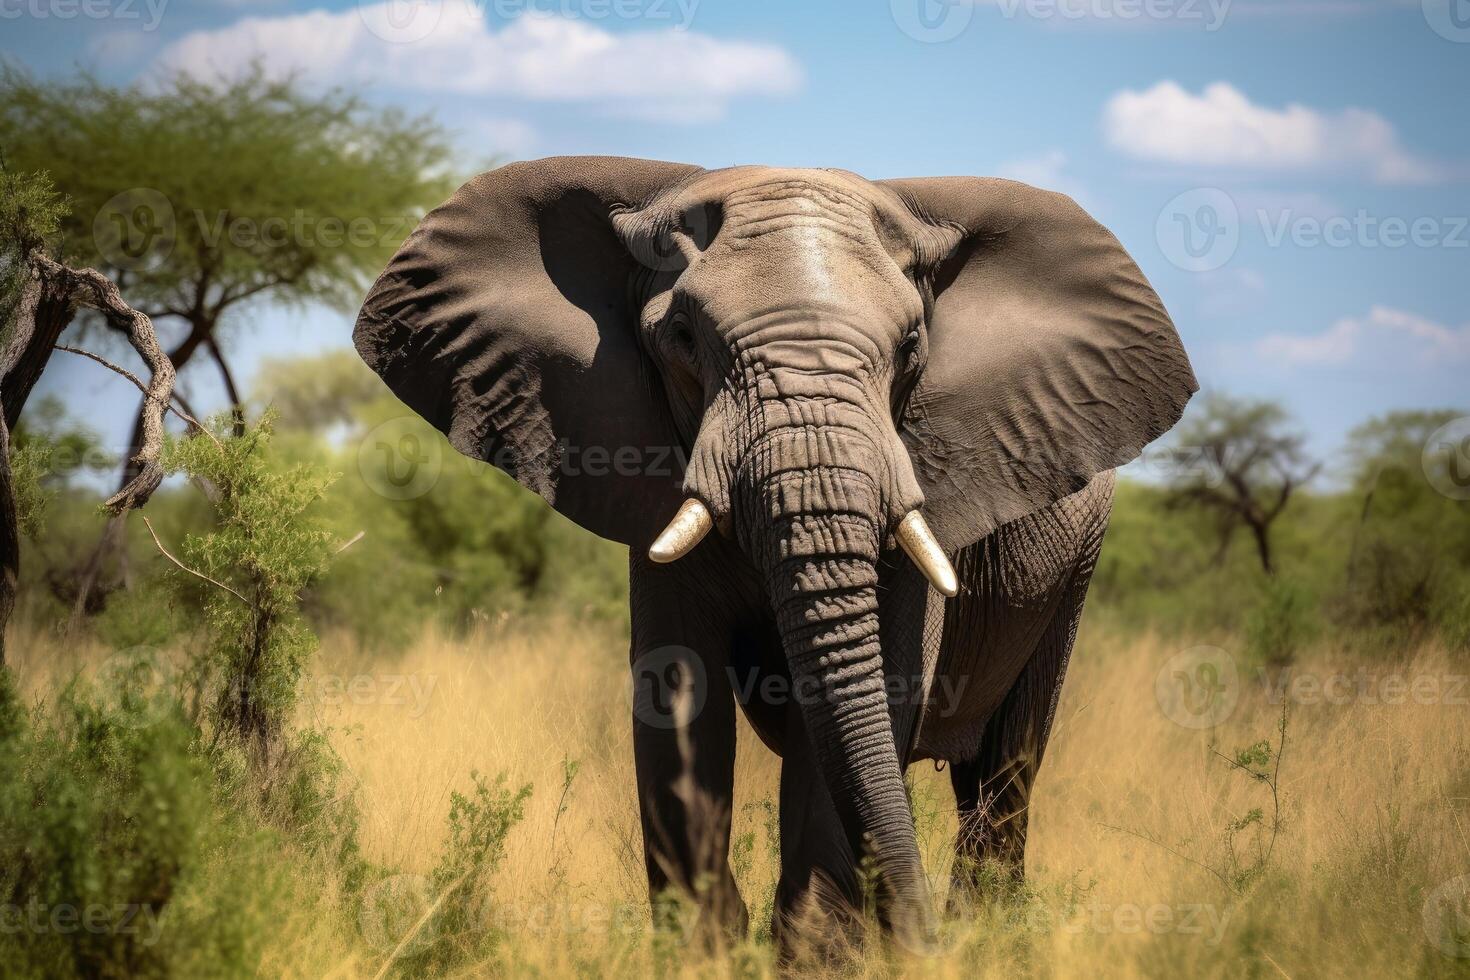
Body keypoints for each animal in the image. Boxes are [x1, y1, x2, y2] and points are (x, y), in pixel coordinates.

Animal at [352, 155, 1193, 957]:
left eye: (911, 347)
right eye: (684, 339)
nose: (917, 941)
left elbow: (874, 691)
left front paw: (818, 954)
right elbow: (676, 691)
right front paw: (706, 950)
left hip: (1076, 567)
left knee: (1003, 774)